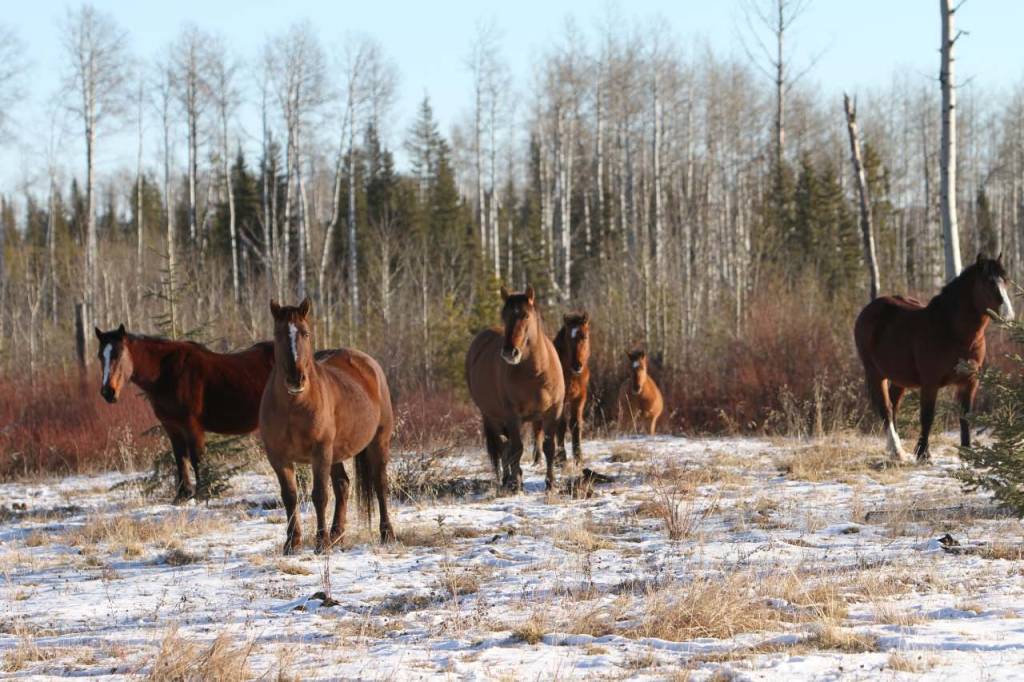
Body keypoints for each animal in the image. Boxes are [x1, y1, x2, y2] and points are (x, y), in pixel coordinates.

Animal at [95, 325, 275, 502]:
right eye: (100, 357)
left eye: (118, 354)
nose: (108, 392)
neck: (168, 372)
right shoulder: (172, 427)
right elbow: (180, 458)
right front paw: (183, 495)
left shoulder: (192, 425)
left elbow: (197, 458)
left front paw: (203, 493)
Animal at [259, 298, 395, 554]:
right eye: (278, 334)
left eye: (306, 333)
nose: (295, 379)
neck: (294, 406)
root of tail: (368, 363)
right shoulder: (278, 457)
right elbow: (289, 496)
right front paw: (292, 543)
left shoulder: (320, 451)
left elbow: (320, 495)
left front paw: (320, 542)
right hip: (336, 453)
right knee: (342, 485)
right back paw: (336, 535)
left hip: (378, 441)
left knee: (379, 484)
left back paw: (387, 534)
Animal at [465, 285, 565, 492]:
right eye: (504, 315)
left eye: (526, 315)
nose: (509, 352)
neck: (536, 374)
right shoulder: (512, 416)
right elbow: (516, 449)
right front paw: (516, 482)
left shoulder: (553, 412)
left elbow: (549, 447)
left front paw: (551, 483)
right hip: (492, 417)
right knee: (504, 446)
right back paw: (508, 480)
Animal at [532, 311, 592, 466]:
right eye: (567, 338)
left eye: (584, 336)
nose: (577, 365)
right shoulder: (561, 400)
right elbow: (561, 425)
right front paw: (561, 459)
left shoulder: (580, 398)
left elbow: (575, 424)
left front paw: (578, 458)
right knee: (537, 428)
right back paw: (537, 459)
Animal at [854, 254, 1014, 462]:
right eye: (988, 282)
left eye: (1006, 280)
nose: (1008, 316)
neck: (952, 331)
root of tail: (868, 310)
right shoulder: (930, 383)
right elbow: (927, 416)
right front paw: (923, 453)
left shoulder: (969, 382)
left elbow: (965, 415)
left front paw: (967, 451)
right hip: (875, 373)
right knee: (886, 409)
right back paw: (897, 450)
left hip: (899, 378)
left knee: (894, 406)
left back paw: (894, 449)